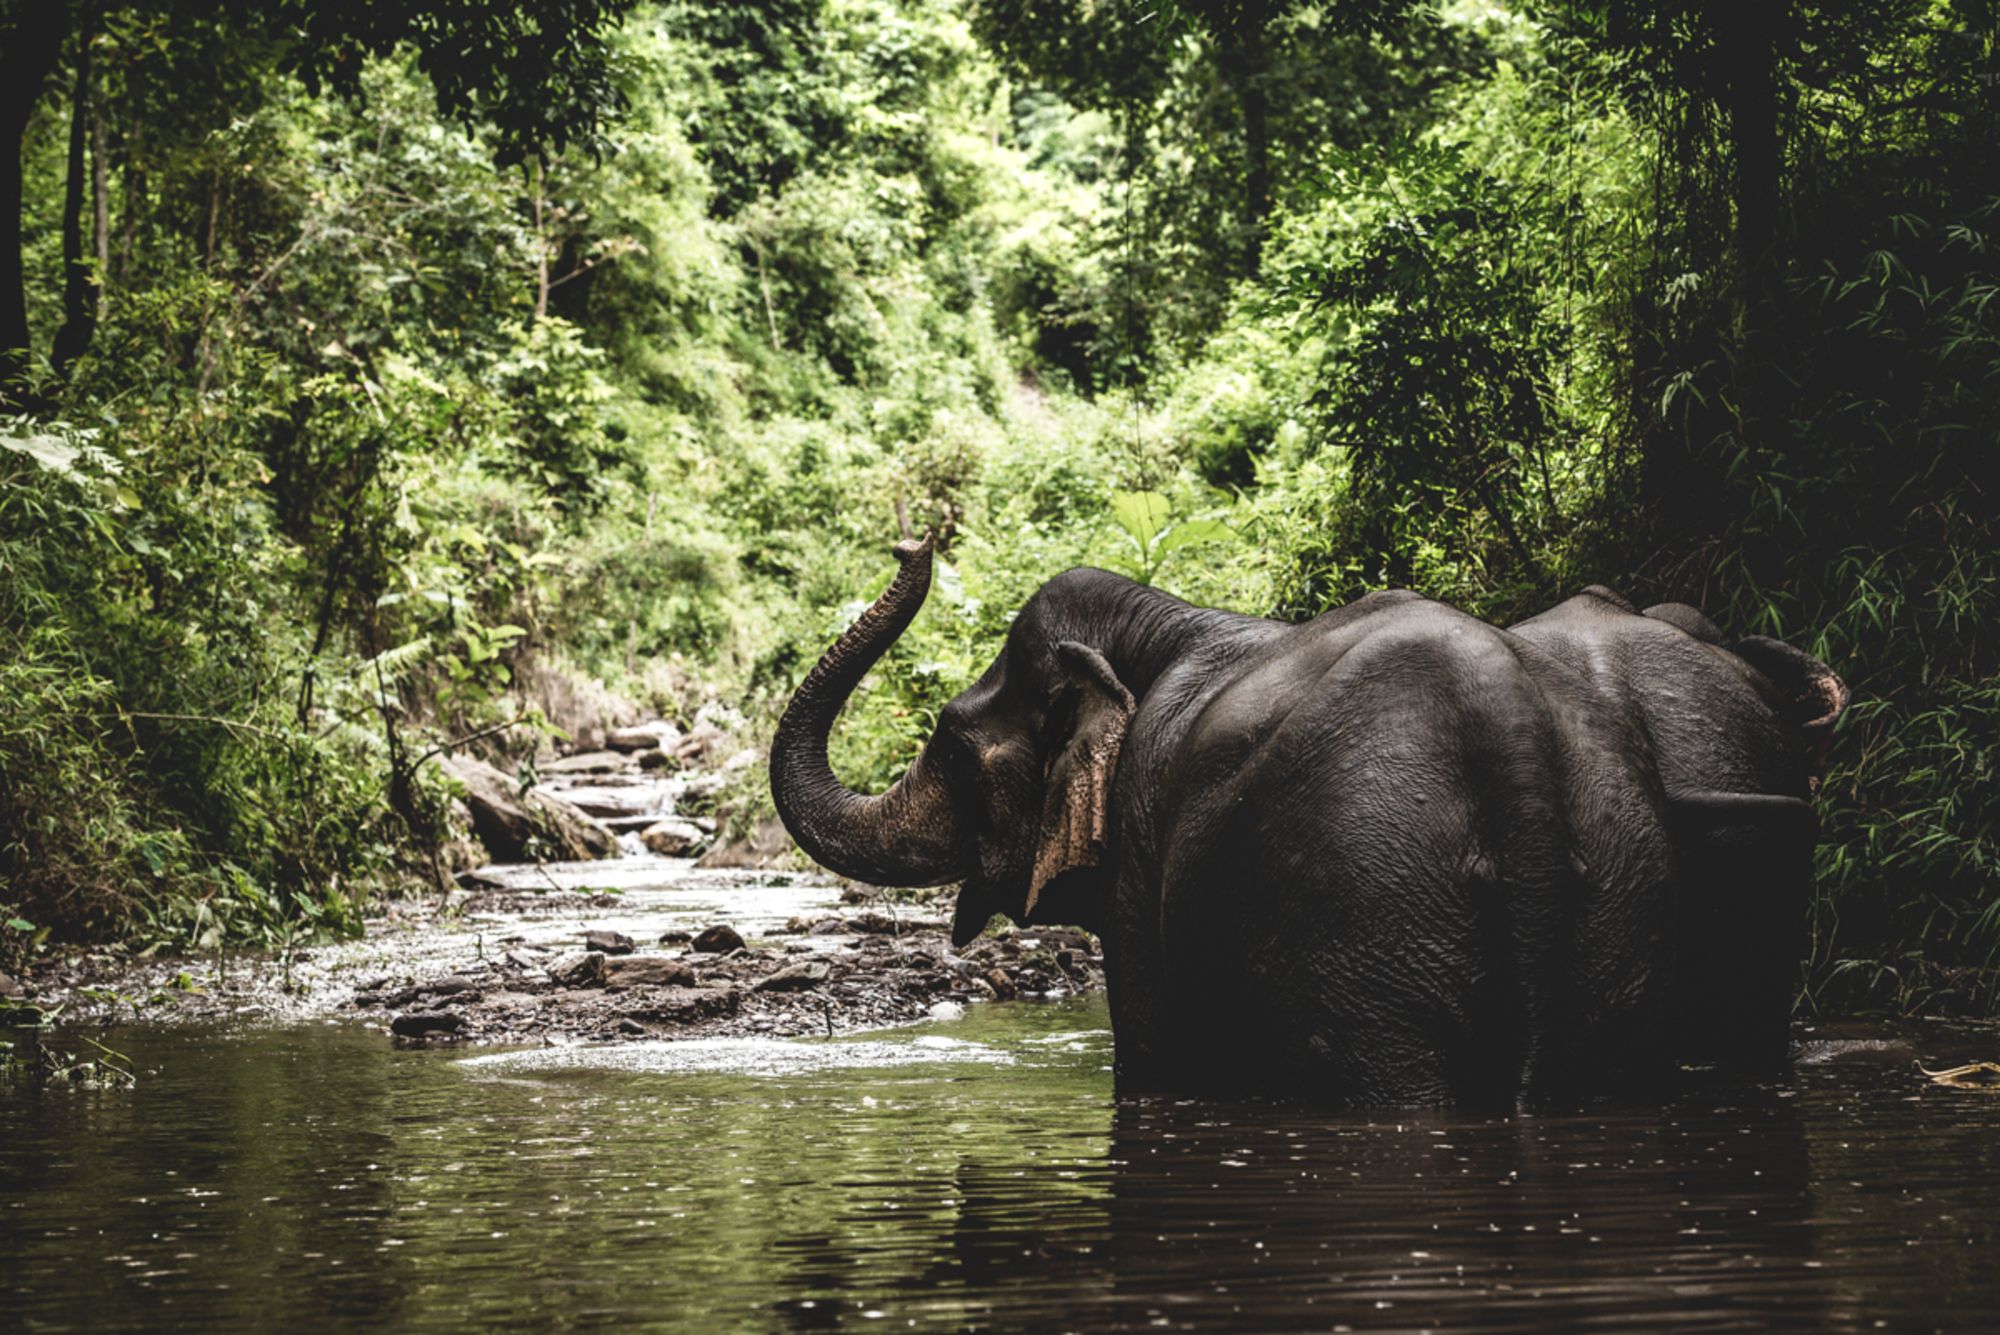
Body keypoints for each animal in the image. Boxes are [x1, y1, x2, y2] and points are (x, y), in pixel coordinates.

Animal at [770, 537, 1848, 1105]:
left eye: (951, 743)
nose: (917, 539)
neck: (1164, 622)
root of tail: (1512, 733)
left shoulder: (1142, 861)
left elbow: (1155, 1063)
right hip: (1619, 900)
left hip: (1372, 915)